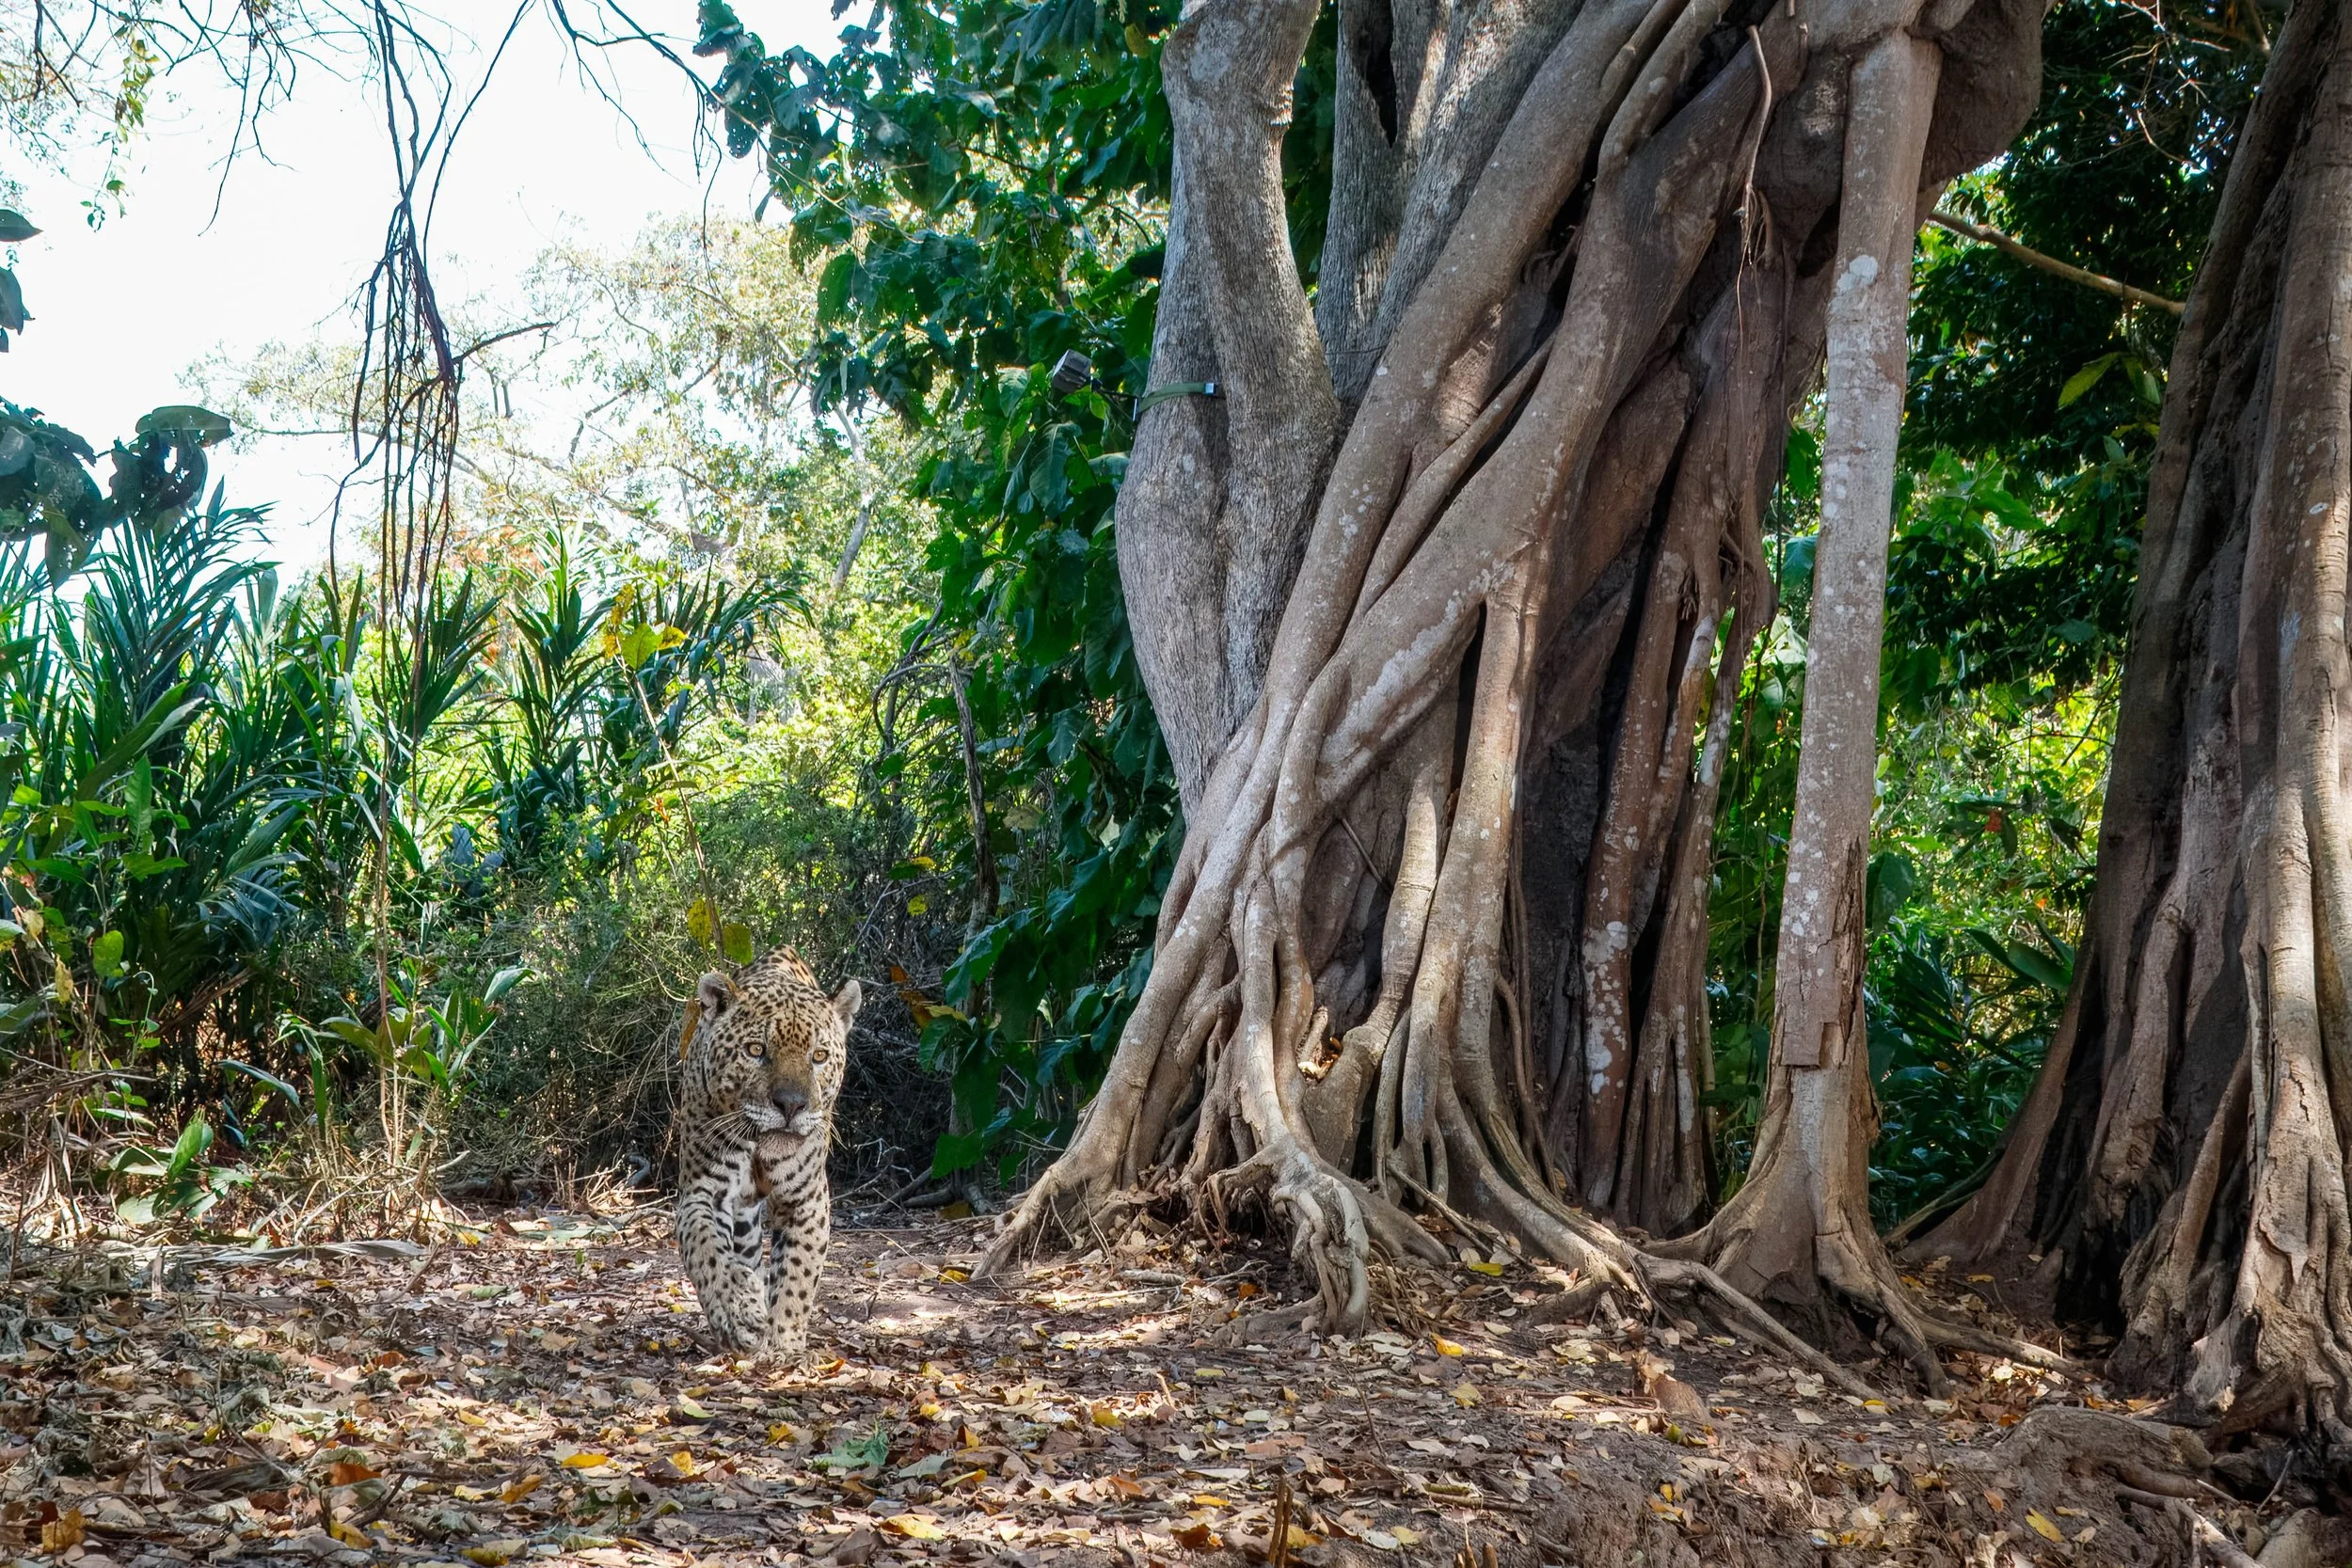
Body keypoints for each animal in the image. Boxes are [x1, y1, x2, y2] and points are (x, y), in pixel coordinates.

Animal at [673, 947, 861, 1357]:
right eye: (756, 1050)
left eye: (819, 1056)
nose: (791, 1105)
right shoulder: (702, 1190)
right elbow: (706, 1250)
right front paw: (738, 1313)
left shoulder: (807, 1199)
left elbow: (797, 1274)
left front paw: (785, 1344)